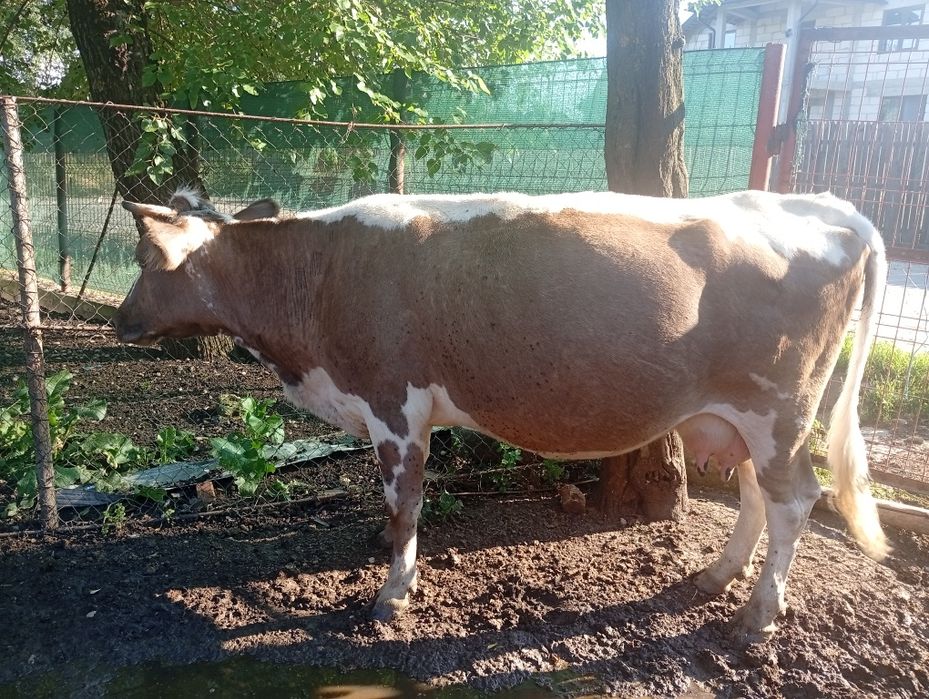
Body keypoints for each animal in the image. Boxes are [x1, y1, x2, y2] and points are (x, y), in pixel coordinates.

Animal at [113, 188, 889, 643]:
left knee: (794, 500)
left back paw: (758, 615)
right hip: (747, 418)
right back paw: (717, 576)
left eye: (143, 258)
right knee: (759, 494)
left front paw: (393, 592)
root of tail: (826, 204)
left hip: (780, 408)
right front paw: (383, 552)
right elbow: (393, 505)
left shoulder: (395, 404)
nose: (120, 320)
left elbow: (405, 502)